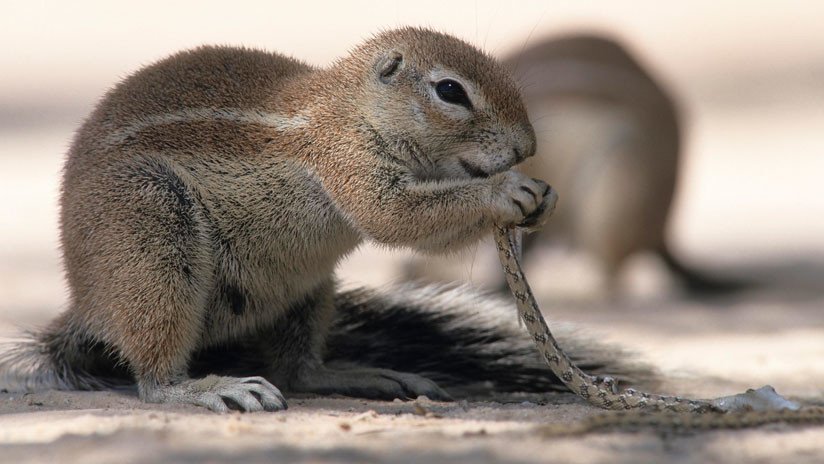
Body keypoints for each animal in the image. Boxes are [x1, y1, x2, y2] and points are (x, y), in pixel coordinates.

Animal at [0, 28, 644, 410]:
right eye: (450, 91)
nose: (526, 147)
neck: (351, 108)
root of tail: (88, 310)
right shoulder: (347, 161)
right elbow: (395, 216)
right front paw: (506, 190)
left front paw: (545, 197)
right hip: (151, 228)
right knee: (155, 379)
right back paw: (209, 387)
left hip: (305, 289)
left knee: (298, 372)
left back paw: (365, 376)